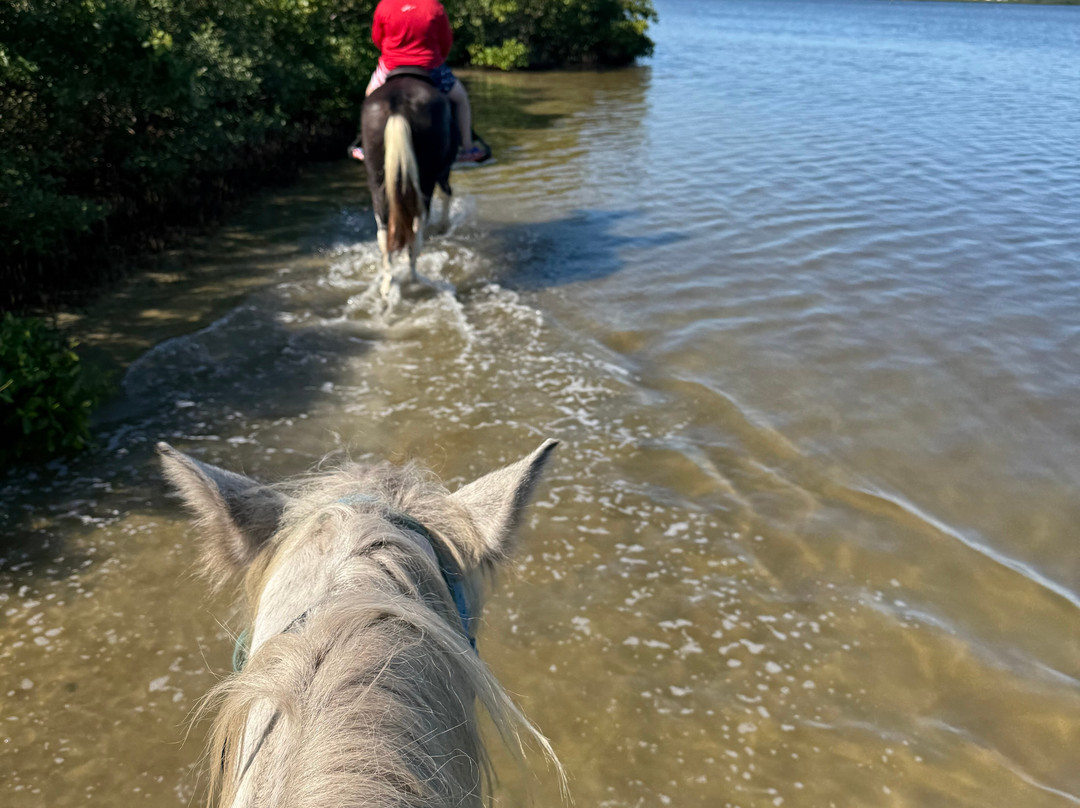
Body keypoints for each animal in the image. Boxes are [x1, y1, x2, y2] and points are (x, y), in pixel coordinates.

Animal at [361, 70, 459, 300]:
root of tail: (397, 105)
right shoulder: (443, 170)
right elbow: (447, 193)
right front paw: (443, 226)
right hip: (426, 180)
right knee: (416, 228)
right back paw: (413, 276)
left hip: (377, 179)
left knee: (384, 231)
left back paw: (388, 283)